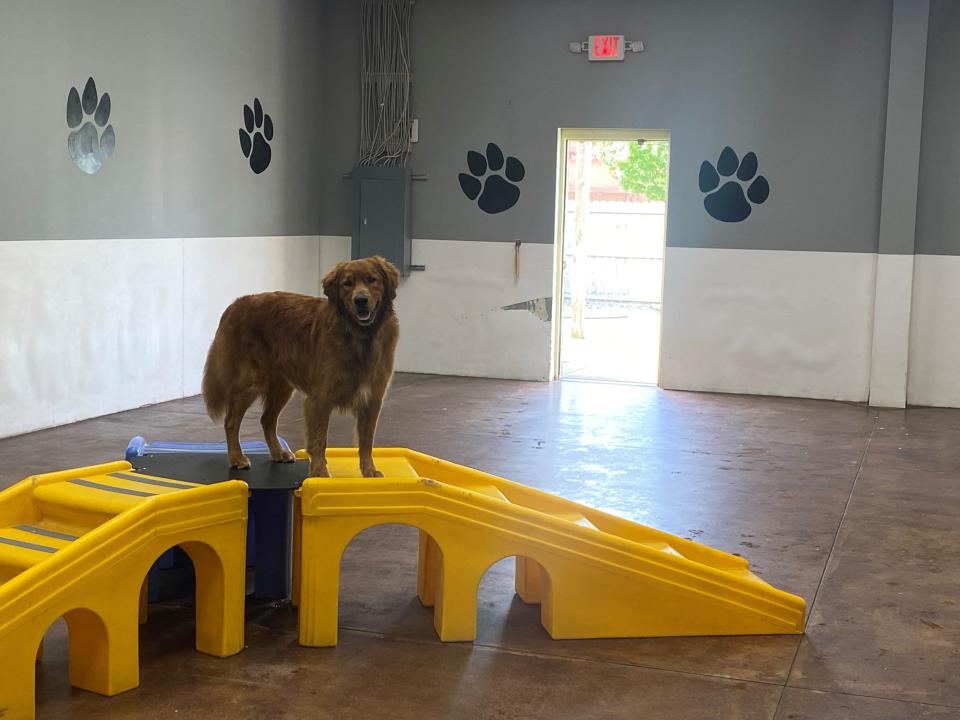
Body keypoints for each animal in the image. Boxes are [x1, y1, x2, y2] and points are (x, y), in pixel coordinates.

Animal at [201, 255, 400, 478]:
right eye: (347, 283)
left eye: (372, 280)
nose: (361, 300)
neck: (359, 336)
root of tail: (235, 304)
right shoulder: (320, 397)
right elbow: (319, 439)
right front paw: (320, 471)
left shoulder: (373, 398)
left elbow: (367, 440)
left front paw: (369, 470)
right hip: (250, 382)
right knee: (231, 421)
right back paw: (237, 458)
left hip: (282, 388)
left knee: (267, 420)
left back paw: (278, 452)